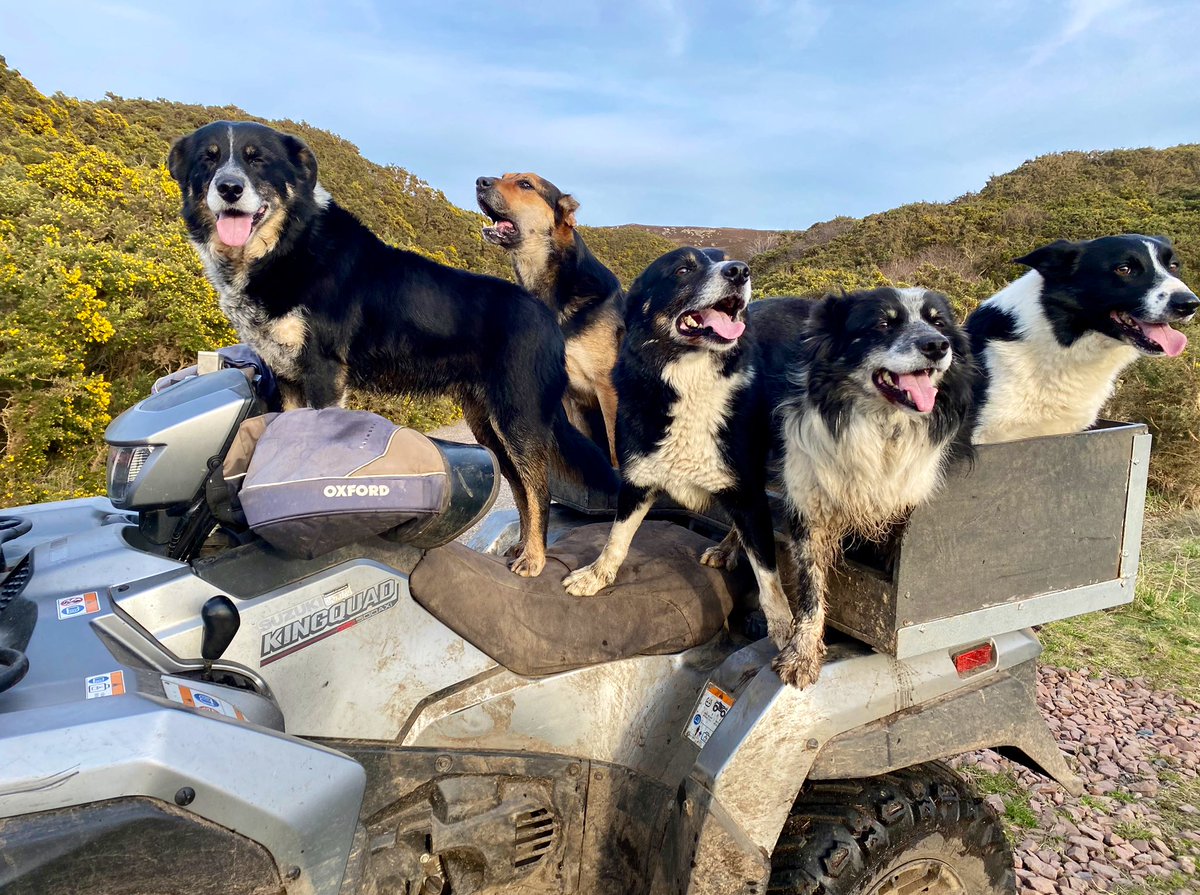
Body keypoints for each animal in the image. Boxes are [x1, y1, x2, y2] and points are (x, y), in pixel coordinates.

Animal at [472, 176, 624, 467]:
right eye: (503, 175)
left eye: (525, 184)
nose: (480, 181)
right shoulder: (567, 397)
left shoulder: (607, 386)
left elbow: (614, 451)